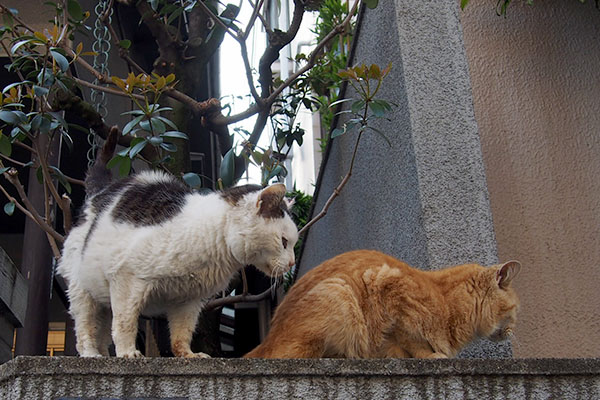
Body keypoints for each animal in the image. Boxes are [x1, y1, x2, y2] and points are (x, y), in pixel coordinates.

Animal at [58, 131, 298, 360]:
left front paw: (188, 354)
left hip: (103, 298)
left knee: (102, 332)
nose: (292, 263)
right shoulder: (127, 280)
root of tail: (99, 192)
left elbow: (182, 333)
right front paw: (127, 352)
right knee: (85, 329)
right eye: (284, 241)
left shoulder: (188, 300)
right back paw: (91, 354)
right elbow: (125, 323)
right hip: (83, 290)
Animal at [244, 250, 520, 360]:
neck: (447, 302)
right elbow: (410, 338)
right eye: (516, 310)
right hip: (339, 293)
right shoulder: (385, 283)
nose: (512, 330)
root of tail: (268, 339)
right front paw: (430, 355)